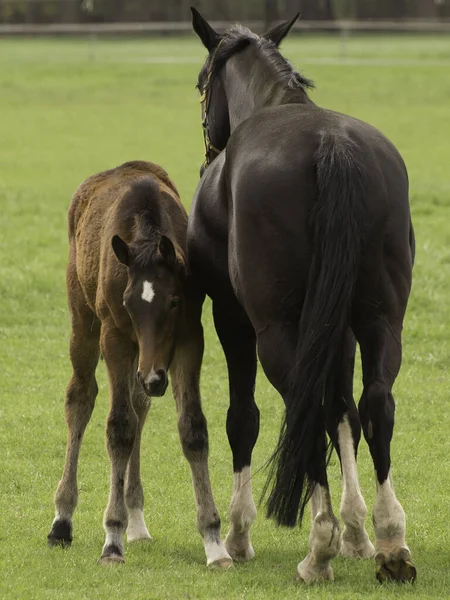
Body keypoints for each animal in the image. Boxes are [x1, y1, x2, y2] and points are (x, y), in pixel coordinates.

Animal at [47, 161, 232, 568]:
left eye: (174, 301)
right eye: (129, 303)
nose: (153, 377)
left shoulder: (189, 338)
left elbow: (192, 428)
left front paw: (214, 541)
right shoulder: (115, 336)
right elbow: (119, 428)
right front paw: (112, 539)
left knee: (138, 404)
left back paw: (136, 521)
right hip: (84, 319)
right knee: (81, 397)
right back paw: (62, 520)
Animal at [188, 8, 416, 580]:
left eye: (201, 85)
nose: (206, 155)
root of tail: (333, 145)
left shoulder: (233, 320)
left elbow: (244, 418)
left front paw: (240, 533)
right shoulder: (339, 328)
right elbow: (344, 413)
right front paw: (358, 530)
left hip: (274, 330)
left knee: (305, 407)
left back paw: (318, 549)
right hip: (379, 319)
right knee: (374, 403)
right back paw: (390, 540)